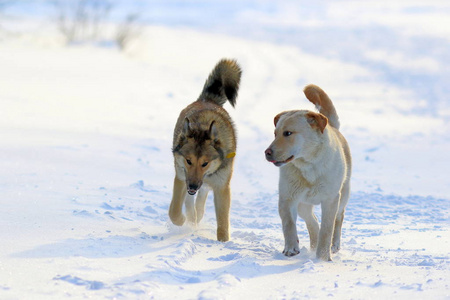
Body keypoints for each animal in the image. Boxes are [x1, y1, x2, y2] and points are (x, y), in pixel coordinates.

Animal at [264, 84, 352, 260]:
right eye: (275, 133)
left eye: (288, 133)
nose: (267, 152)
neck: (309, 166)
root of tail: (332, 126)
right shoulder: (287, 197)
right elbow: (288, 224)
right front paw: (291, 248)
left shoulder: (331, 200)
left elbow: (327, 230)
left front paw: (323, 258)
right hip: (302, 205)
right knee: (313, 221)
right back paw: (312, 246)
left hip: (343, 195)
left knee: (338, 219)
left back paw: (334, 246)